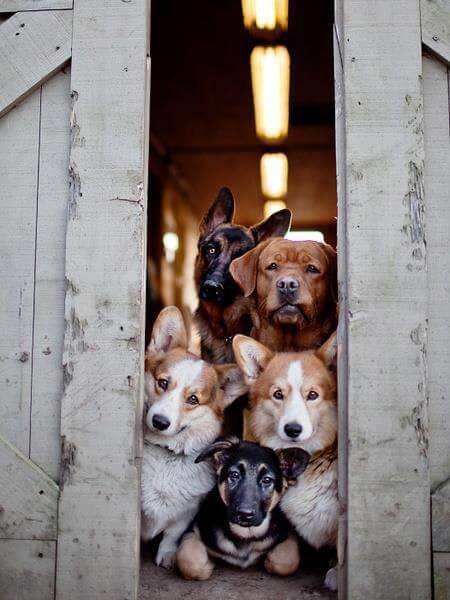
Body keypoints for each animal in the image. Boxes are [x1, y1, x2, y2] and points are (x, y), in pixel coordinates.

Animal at [141, 308, 246, 568]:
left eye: (193, 399)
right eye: (162, 383)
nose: (159, 422)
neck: (166, 455)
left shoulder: (187, 511)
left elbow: (172, 534)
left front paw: (168, 555)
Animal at [176, 436, 310, 580]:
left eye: (267, 480)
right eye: (234, 475)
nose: (244, 514)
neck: (246, 534)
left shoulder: (288, 534)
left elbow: (286, 562)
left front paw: (267, 562)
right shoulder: (192, 531)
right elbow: (191, 564)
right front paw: (208, 564)